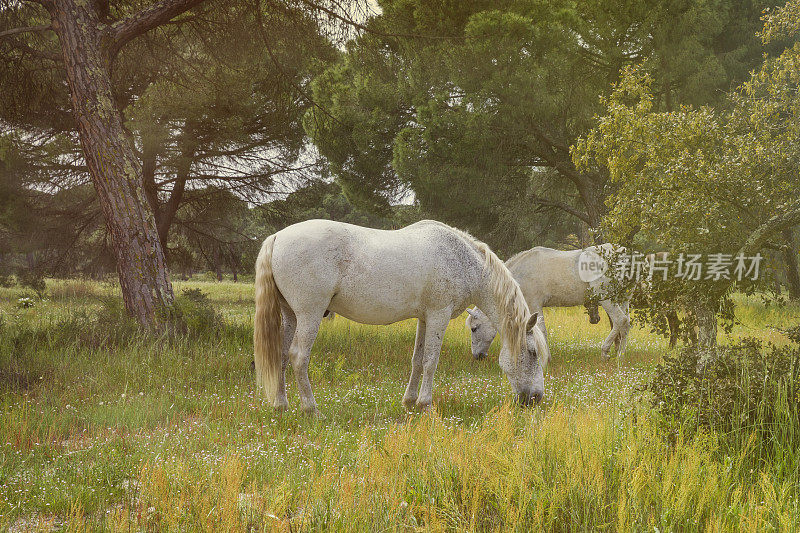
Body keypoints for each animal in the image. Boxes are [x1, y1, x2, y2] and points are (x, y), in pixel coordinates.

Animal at [255, 218, 552, 414]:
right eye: (532, 352)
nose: (536, 398)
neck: (462, 260)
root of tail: (278, 237)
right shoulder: (438, 315)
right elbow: (431, 361)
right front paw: (426, 405)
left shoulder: (424, 318)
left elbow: (417, 361)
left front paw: (409, 402)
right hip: (310, 314)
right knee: (298, 357)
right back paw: (311, 409)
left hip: (291, 316)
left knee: (282, 355)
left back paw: (281, 405)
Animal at [462, 245, 632, 362]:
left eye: (474, 328)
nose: (477, 356)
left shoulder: (534, 305)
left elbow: (541, 330)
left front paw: (545, 357)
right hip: (622, 299)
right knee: (626, 324)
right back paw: (621, 355)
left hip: (606, 298)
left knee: (620, 320)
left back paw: (606, 352)